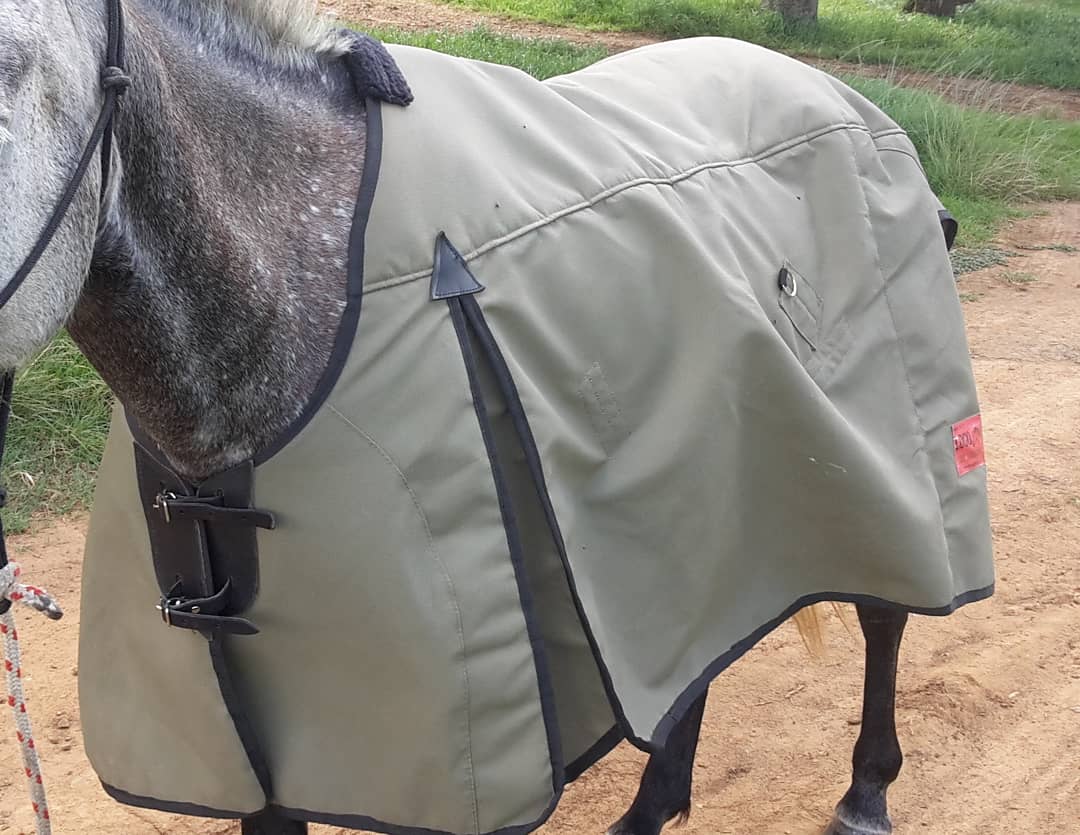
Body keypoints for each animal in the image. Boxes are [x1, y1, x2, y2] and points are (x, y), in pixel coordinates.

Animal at [0, 2, 993, 834]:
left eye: (10, 62)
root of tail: (848, 101)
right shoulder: (265, 760)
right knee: (692, 653)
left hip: (882, 452)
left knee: (888, 609)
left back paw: (866, 793)